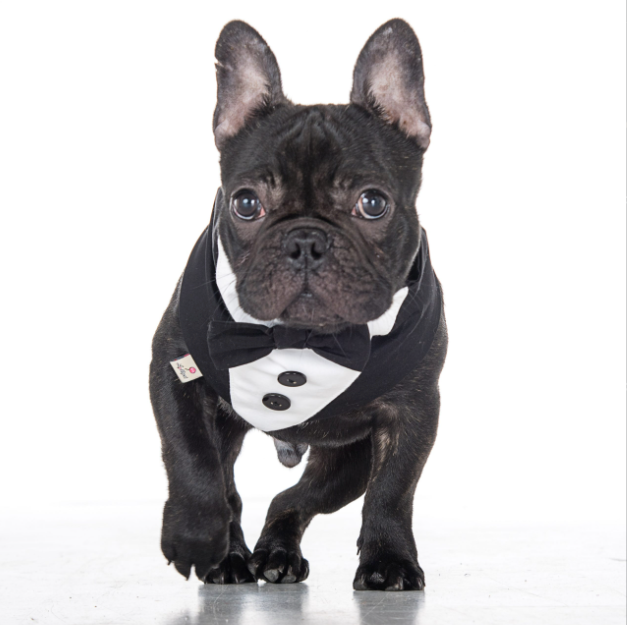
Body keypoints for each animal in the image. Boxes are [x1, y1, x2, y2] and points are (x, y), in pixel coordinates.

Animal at [150, 18, 448, 588]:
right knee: (231, 487)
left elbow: (393, 489)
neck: (301, 337)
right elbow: (192, 459)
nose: (306, 241)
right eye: (246, 203)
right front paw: (194, 537)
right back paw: (231, 555)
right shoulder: (175, 371)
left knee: (293, 499)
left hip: (344, 465)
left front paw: (389, 560)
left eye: (372, 203)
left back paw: (276, 553)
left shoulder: (414, 410)